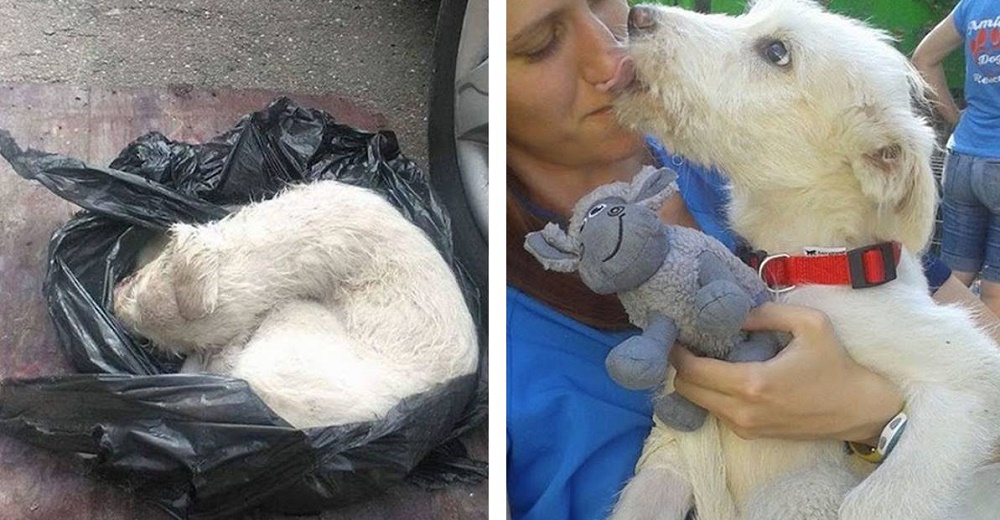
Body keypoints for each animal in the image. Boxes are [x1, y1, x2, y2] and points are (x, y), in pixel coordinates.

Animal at [608, 1, 1000, 520]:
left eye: (777, 52)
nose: (638, 15)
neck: (797, 263)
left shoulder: (968, 376)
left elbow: (877, 501)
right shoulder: (670, 453)